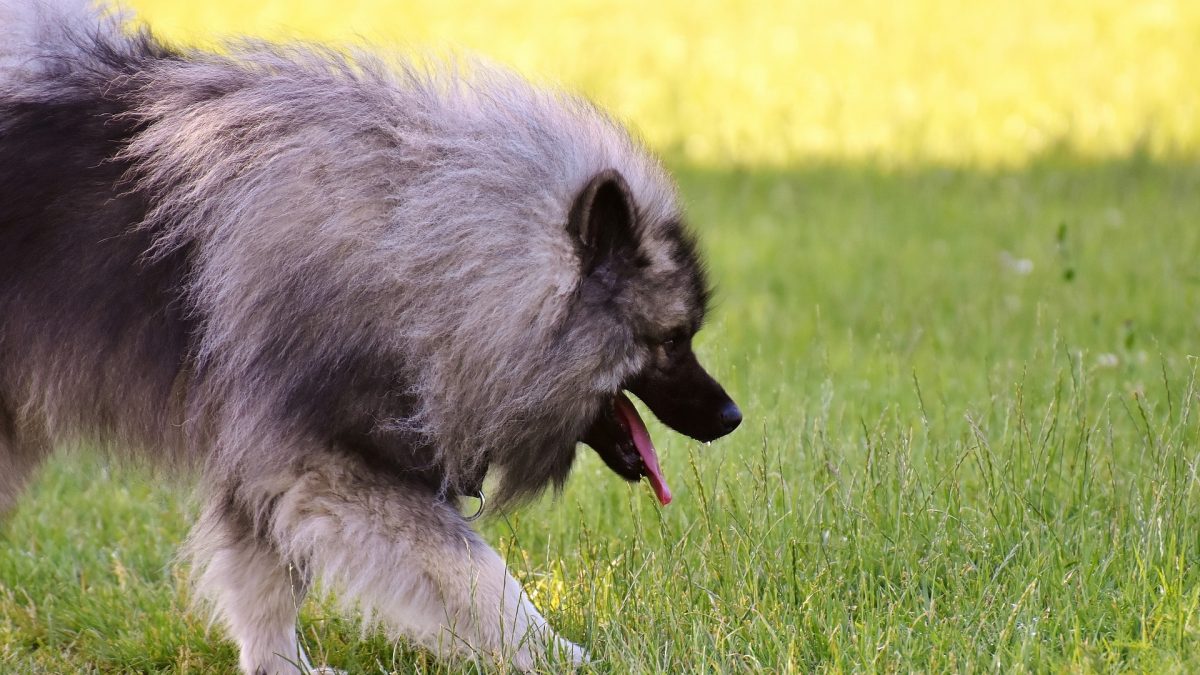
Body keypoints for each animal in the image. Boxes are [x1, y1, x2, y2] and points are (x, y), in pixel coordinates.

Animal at [0, 2, 739, 667]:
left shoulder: (269, 460)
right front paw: (561, 656)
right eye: (672, 340)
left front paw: (280, 668)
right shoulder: (324, 462)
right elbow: (479, 575)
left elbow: (265, 587)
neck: (421, 253)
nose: (732, 415)